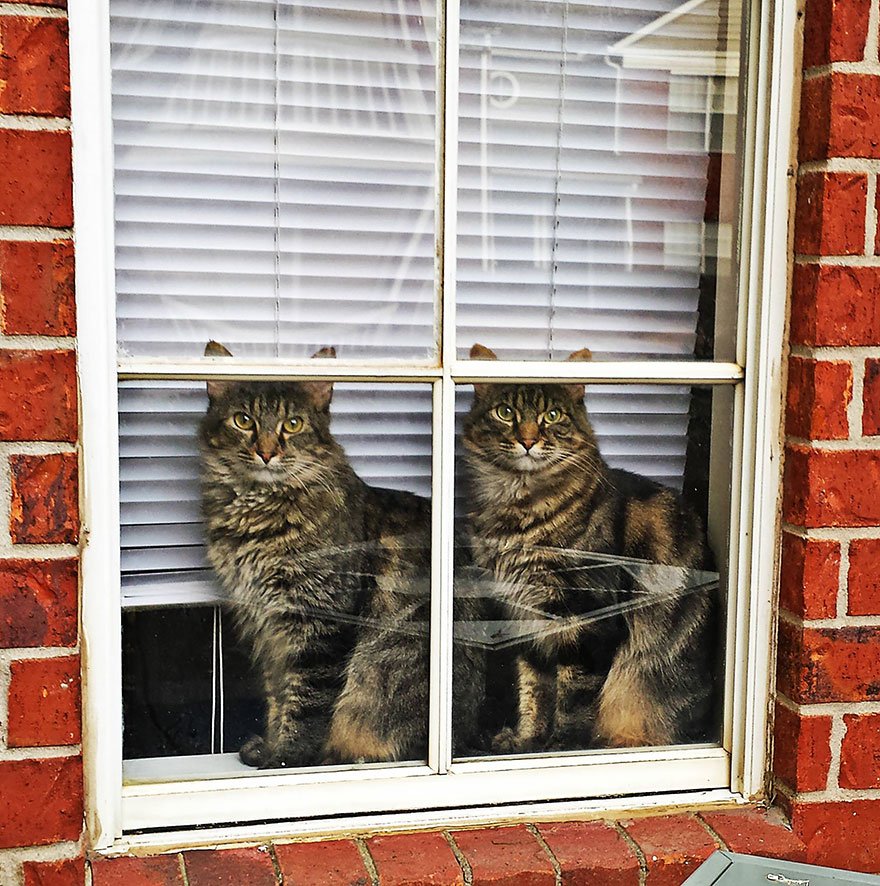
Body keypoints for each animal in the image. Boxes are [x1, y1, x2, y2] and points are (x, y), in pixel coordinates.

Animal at [199, 341, 484, 767]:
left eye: (293, 424)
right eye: (243, 420)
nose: (266, 452)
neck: (257, 514)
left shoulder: (318, 622)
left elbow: (305, 704)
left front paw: (286, 758)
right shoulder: (268, 626)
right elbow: (277, 695)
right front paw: (268, 745)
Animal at [461, 343, 717, 752]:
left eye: (552, 415)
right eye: (506, 412)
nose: (528, 441)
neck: (518, 509)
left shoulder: (586, 620)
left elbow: (572, 701)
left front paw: (560, 749)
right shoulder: (525, 620)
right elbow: (533, 693)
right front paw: (527, 742)